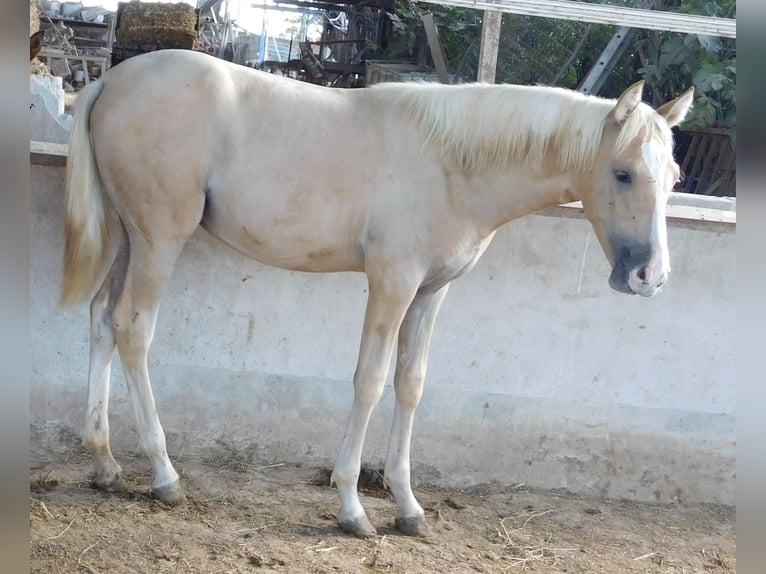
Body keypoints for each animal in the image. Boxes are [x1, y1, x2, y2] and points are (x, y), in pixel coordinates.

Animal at [61, 49, 696, 540]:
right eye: (622, 173)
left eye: (673, 177)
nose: (650, 276)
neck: (452, 165)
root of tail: (112, 80)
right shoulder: (392, 283)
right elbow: (369, 382)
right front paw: (352, 507)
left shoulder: (431, 293)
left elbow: (410, 385)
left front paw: (409, 507)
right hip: (159, 240)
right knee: (134, 328)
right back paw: (163, 474)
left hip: (128, 237)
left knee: (101, 319)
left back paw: (105, 464)